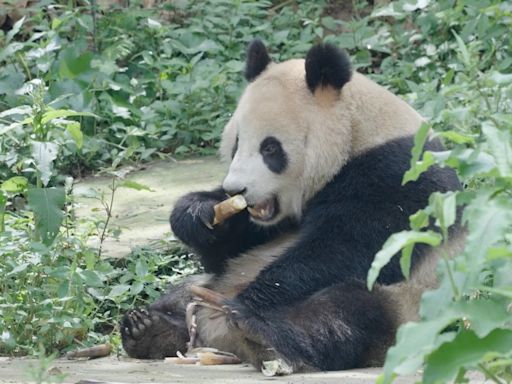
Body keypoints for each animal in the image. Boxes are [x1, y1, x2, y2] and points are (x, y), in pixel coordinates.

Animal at [121, 39, 464, 372]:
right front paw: (198, 214)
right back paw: (149, 328)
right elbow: (226, 250)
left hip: (406, 310)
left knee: (342, 312)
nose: (236, 188)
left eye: (270, 149)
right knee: (184, 292)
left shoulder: (397, 178)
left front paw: (253, 299)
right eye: (236, 144)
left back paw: (259, 334)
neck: (359, 133)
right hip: (212, 285)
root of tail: (217, 338)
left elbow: (345, 251)